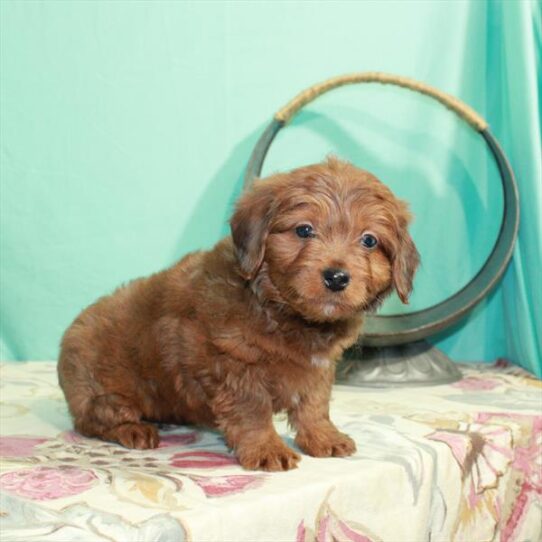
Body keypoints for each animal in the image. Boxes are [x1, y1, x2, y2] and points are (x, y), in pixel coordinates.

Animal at [58, 157, 420, 472]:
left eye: (369, 240)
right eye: (304, 230)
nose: (336, 277)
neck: (280, 310)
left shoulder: (318, 369)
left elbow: (314, 405)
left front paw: (322, 437)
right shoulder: (234, 367)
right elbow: (253, 412)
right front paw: (267, 448)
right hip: (102, 391)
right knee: (92, 420)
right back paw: (133, 429)